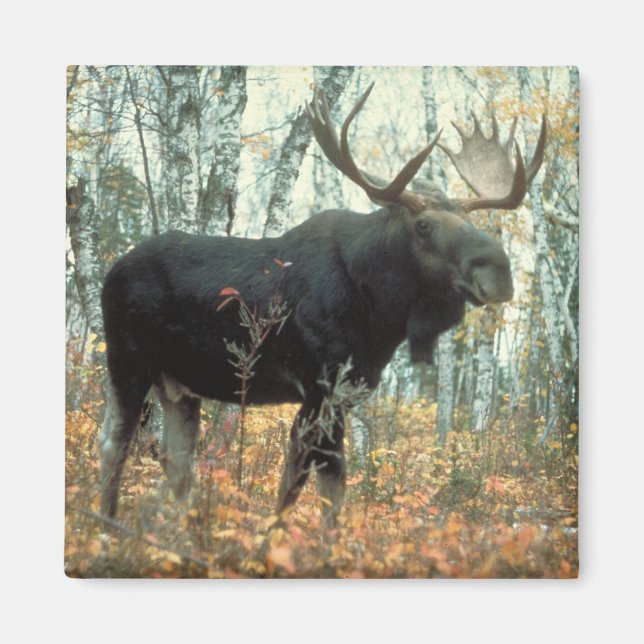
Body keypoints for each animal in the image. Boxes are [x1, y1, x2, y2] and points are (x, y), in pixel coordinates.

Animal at [99, 82, 546, 528]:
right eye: (423, 226)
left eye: (472, 223)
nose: (499, 270)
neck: (380, 314)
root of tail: (111, 271)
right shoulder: (320, 386)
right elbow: (312, 487)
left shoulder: (344, 392)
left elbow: (314, 487)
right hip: (128, 360)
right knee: (114, 442)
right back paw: (107, 526)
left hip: (178, 386)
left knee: (176, 462)